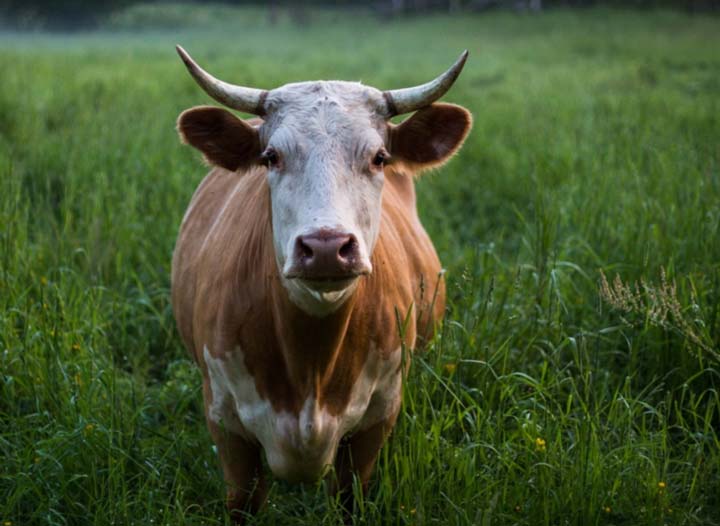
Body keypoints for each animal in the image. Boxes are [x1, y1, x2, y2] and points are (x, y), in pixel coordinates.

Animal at [171, 45, 472, 522]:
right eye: (271, 157)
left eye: (379, 157)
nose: (327, 246)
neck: (310, 364)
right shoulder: (225, 424)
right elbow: (243, 502)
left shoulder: (376, 421)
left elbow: (350, 496)